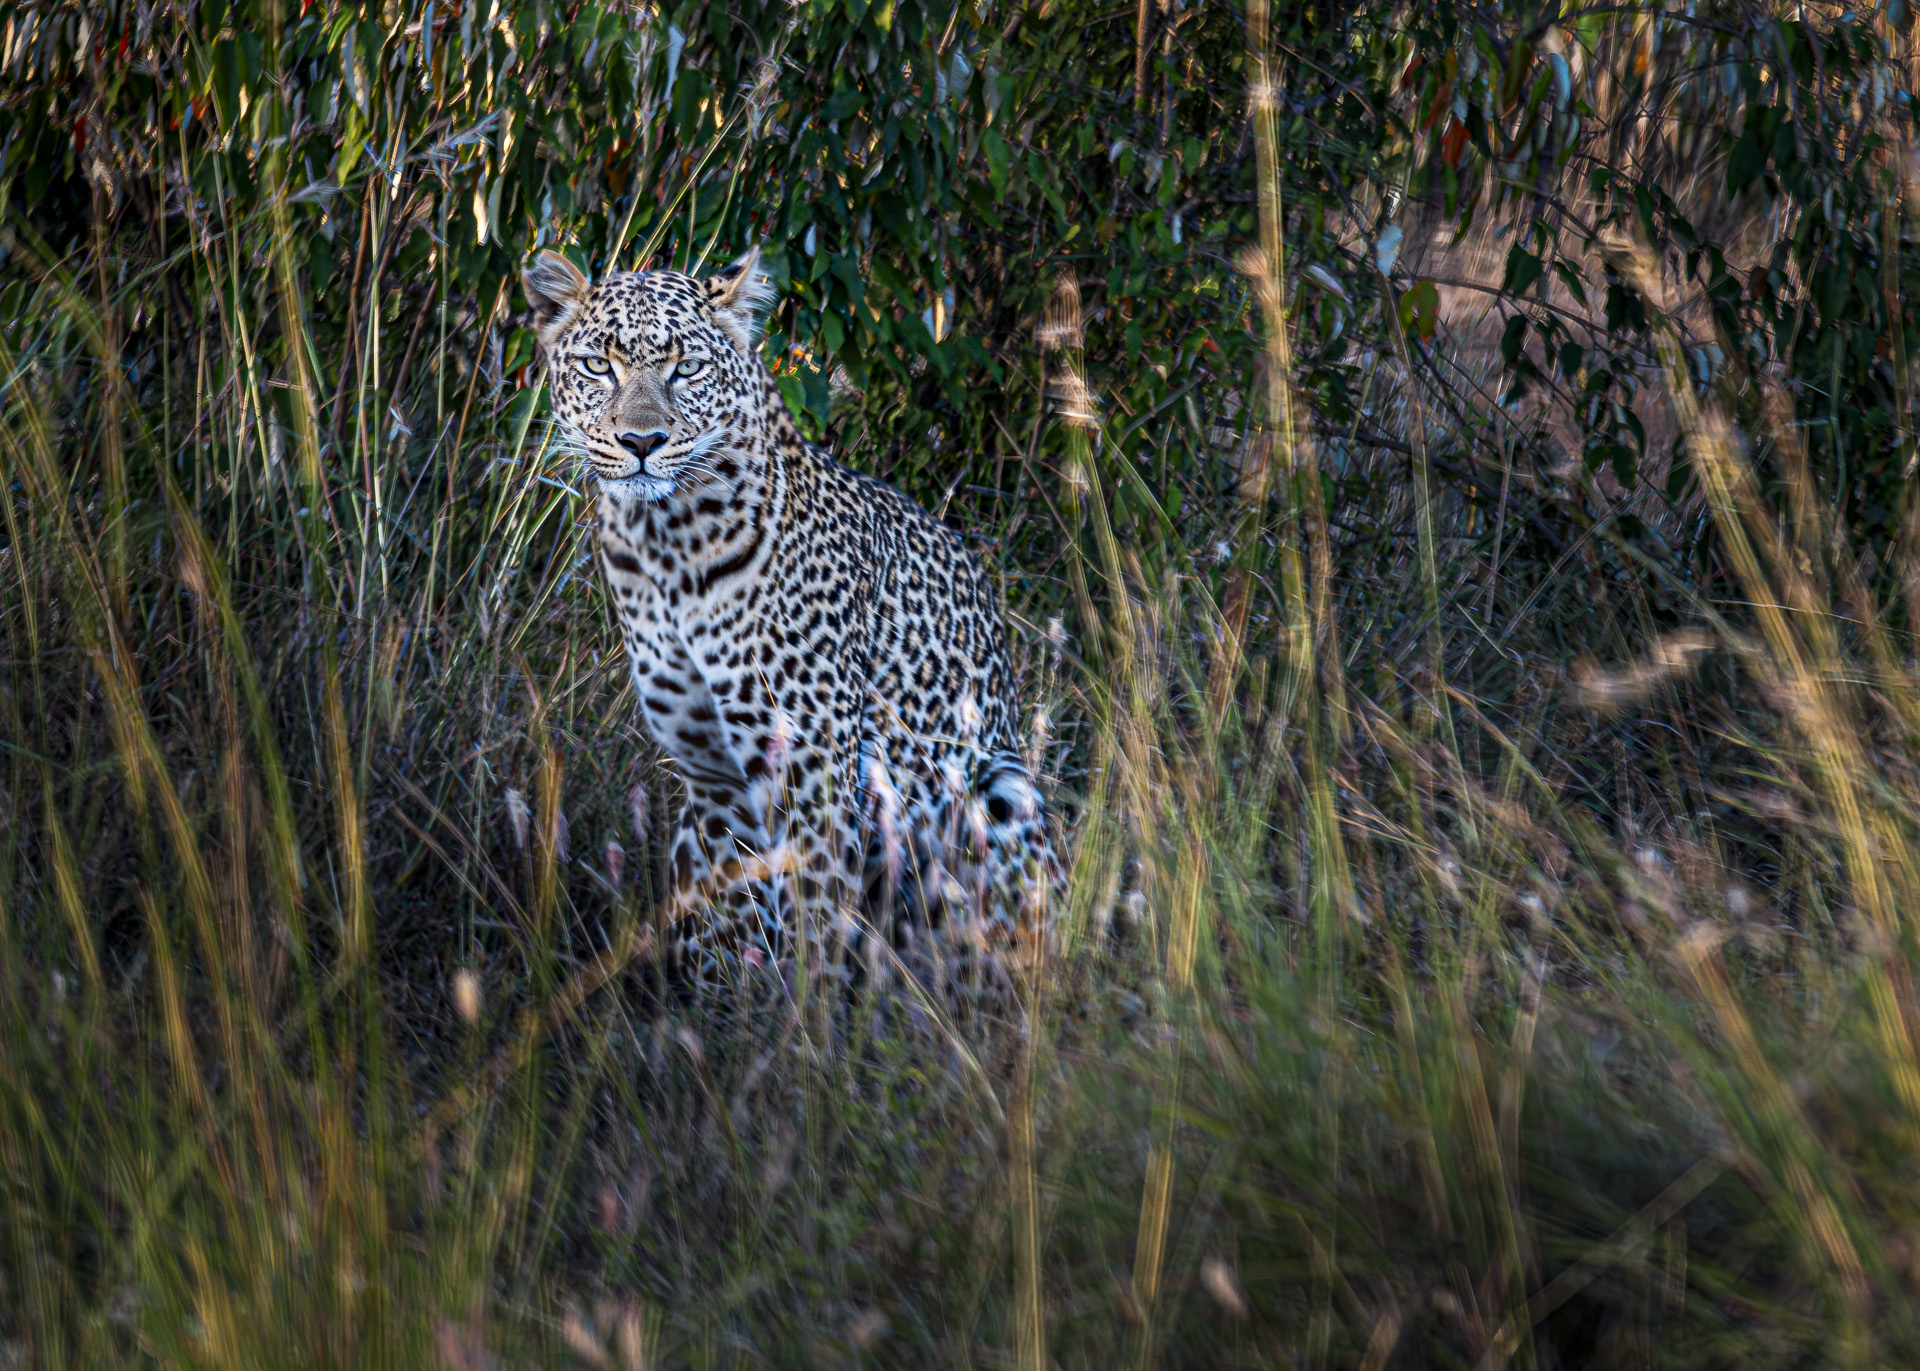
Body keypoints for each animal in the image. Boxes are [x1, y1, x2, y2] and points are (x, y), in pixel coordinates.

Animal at [523, 246, 1053, 988]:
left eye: (687, 367)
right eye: (600, 366)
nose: (641, 441)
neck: (666, 546)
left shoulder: (816, 763)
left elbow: (819, 916)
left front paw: (809, 1014)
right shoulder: (712, 774)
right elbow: (733, 914)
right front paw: (737, 1008)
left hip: (1001, 789)